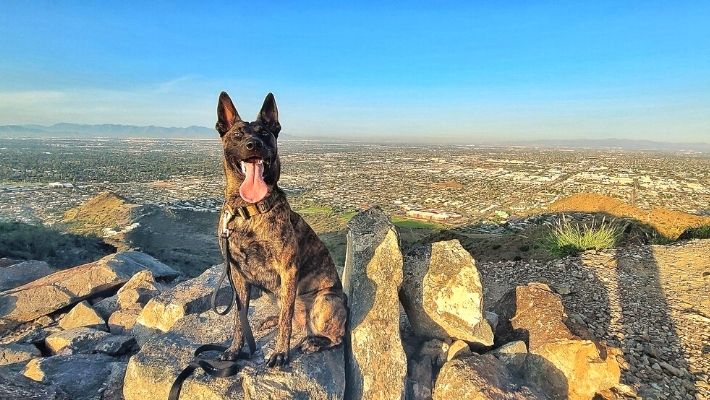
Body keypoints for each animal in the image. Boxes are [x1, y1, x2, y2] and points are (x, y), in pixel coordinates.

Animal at [217, 92, 350, 368]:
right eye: (237, 135)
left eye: (265, 133)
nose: (253, 145)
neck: (249, 210)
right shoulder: (238, 276)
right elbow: (239, 319)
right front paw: (234, 349)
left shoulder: (288, 270)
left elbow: (286, 321)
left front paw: (280, 353)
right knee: (291, 320)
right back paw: (272, 321)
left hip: (324, 302)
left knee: (335, 335)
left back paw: (314, 342)